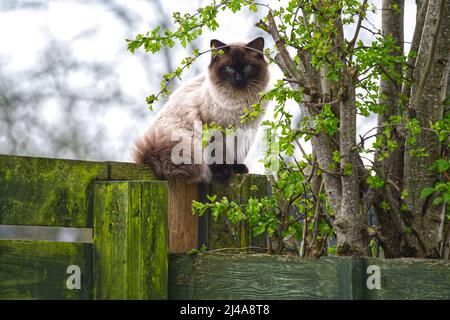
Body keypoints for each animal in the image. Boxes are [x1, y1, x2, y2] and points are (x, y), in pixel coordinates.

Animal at [132, 37, 268, 182]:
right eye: (229, 68)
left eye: (248, 67)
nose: (239, 79)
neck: (239, 101)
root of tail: (147, 158)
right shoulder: (215, 127)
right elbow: (218, 153)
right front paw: (223, 171)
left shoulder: (247, 131)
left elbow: (236, 154)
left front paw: (239, 169)